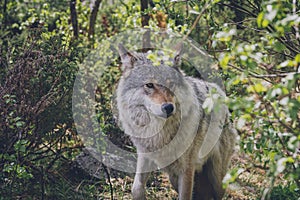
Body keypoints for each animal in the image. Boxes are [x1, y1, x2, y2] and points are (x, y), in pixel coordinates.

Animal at [116, 44, 237, 200]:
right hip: (173, 178)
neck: (159, 135)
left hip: (217, 181)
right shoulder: (145, 156)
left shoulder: (186, 169)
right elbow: (136, 188)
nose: (168, 107)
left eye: (171, 83)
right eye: (149, 85)